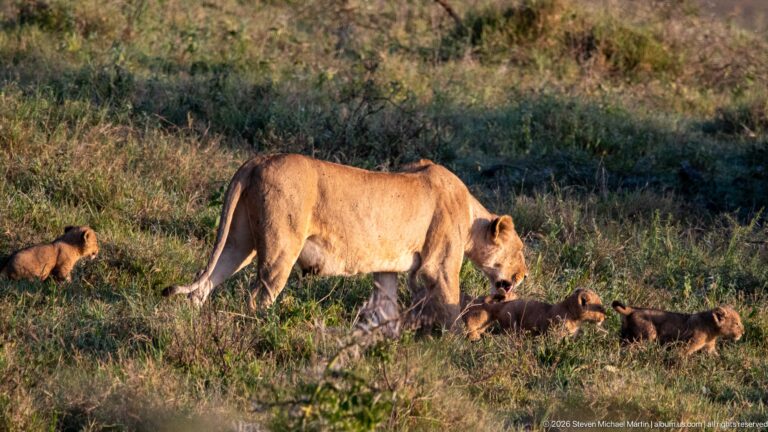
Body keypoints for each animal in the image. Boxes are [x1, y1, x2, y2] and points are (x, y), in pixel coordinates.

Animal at [163, 154, 527, 333]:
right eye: (521, 251)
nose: (524, 275)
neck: (471, 214)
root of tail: (257, 161)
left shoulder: (387, 269)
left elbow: (386, 309)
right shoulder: (437, 267)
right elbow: (450, 308)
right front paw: (458, 344)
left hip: (240, 241)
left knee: (206, 282)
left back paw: (189, 320)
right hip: (281, 246)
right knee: (258, 296)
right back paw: (262, 329)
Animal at [611, 301, 743, 355]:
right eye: (736, 323)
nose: (743, 332)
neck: (712, 329)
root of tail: (632, 309)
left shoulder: (709, 348)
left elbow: (717, 357)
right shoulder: (688, 344)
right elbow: (680, 355)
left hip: (625, 335)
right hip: (648, 335)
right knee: (631, 348)